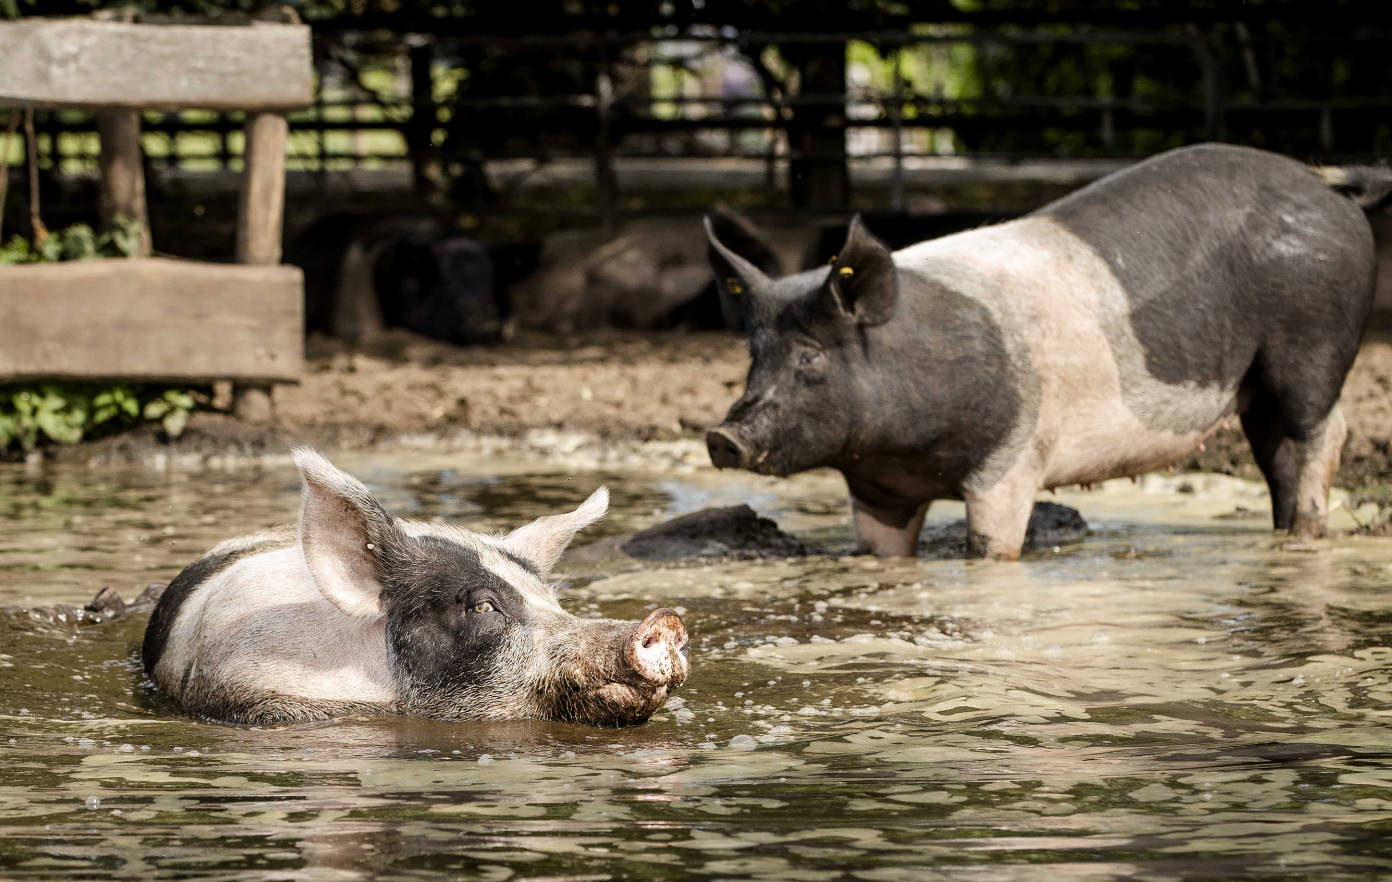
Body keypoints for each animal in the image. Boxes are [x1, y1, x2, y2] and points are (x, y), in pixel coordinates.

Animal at [712, 143, 1386, 556]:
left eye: (810, 357)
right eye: (754, 354)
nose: (722, 436)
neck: (901, 451)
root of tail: (1327, 184)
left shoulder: (1012, 462)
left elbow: (992, 549)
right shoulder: (880, 492)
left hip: (1311, 345)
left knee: (1323, 433)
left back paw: (1305, 534)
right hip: (1258, 386)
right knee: (1278, 452)